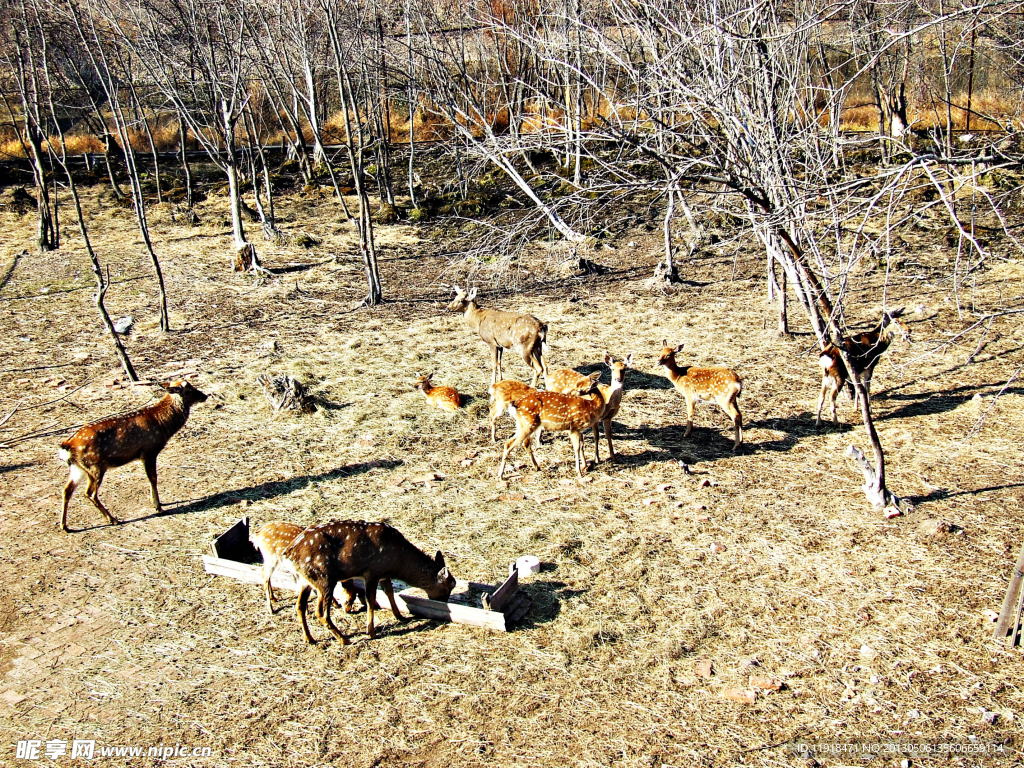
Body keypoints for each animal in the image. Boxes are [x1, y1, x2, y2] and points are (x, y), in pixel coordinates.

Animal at [57, 380, 207, 536]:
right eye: (188, 389)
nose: (205, 395)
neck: (161, 423)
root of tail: (68, 446)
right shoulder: (149, 451)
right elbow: (153, 478)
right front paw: (158, 507)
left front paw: (156, 502)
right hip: (95, 466)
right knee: (89, 493)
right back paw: (113, 520)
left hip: (78, 468)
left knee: (66, 490)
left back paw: (64, 526)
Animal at [282, 520, 454, 647]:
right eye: (449, 586)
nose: (444, 602)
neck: (397, 561)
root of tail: (290, 553)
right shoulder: (372, 571)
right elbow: (371, 600)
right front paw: (371, 632)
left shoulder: (384, 574)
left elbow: (390, 593)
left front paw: (400, 617)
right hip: (324, 579)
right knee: (321, 613)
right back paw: (344, 639)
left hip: (306, 580)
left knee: (299, 605)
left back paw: (309, 639)